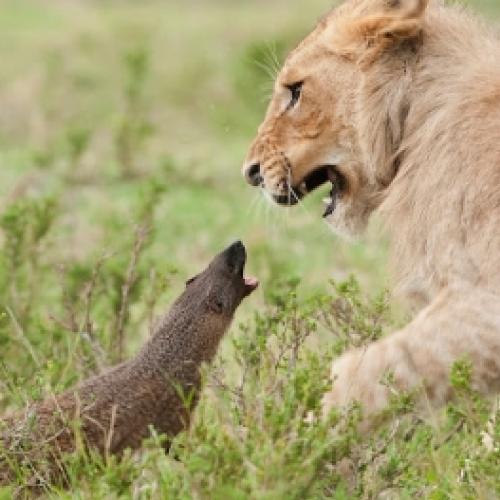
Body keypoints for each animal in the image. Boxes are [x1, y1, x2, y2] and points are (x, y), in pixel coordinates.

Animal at [243, 0, 500, 424]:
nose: (250, 173)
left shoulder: (483, 295)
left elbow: (367, 372)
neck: (418, 116)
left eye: (295, 92)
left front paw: (296, 434)